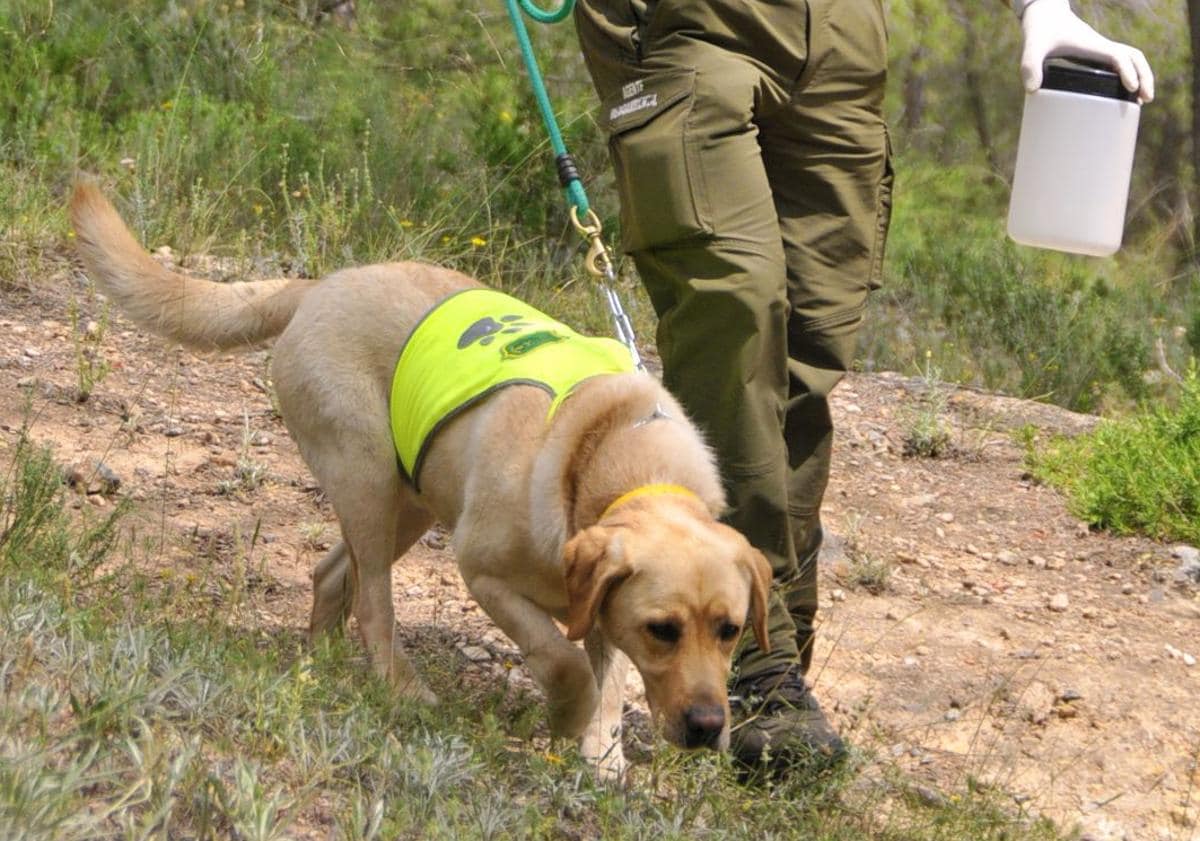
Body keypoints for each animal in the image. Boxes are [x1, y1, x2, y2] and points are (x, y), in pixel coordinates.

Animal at [70, 179, 772, 777]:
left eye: (731, 630)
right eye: (664, 630)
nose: (708, 728)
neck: (608, 451)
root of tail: (323, 285)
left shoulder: (603, 609)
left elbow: (607, 685)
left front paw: (602, 758)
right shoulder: (487, 575)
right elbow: (565, 663)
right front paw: (568, 718)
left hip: (412, 499)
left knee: (333, 576)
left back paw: (321, 664)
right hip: (369, 482)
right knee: (373, 605)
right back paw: (401, 687)